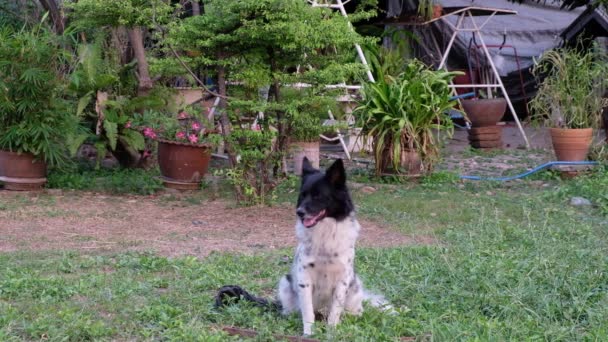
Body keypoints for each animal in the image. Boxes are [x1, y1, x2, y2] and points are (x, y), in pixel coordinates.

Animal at [217, 159, 390, 336]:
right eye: (303, 195)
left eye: (318, 196)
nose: (299, 212)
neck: (324, 234)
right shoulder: (304, 279)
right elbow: (307, 311)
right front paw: (308, 333)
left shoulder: (342, 279)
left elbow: (335, 312)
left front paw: (331, 333)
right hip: (286, 282)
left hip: (355, 287)